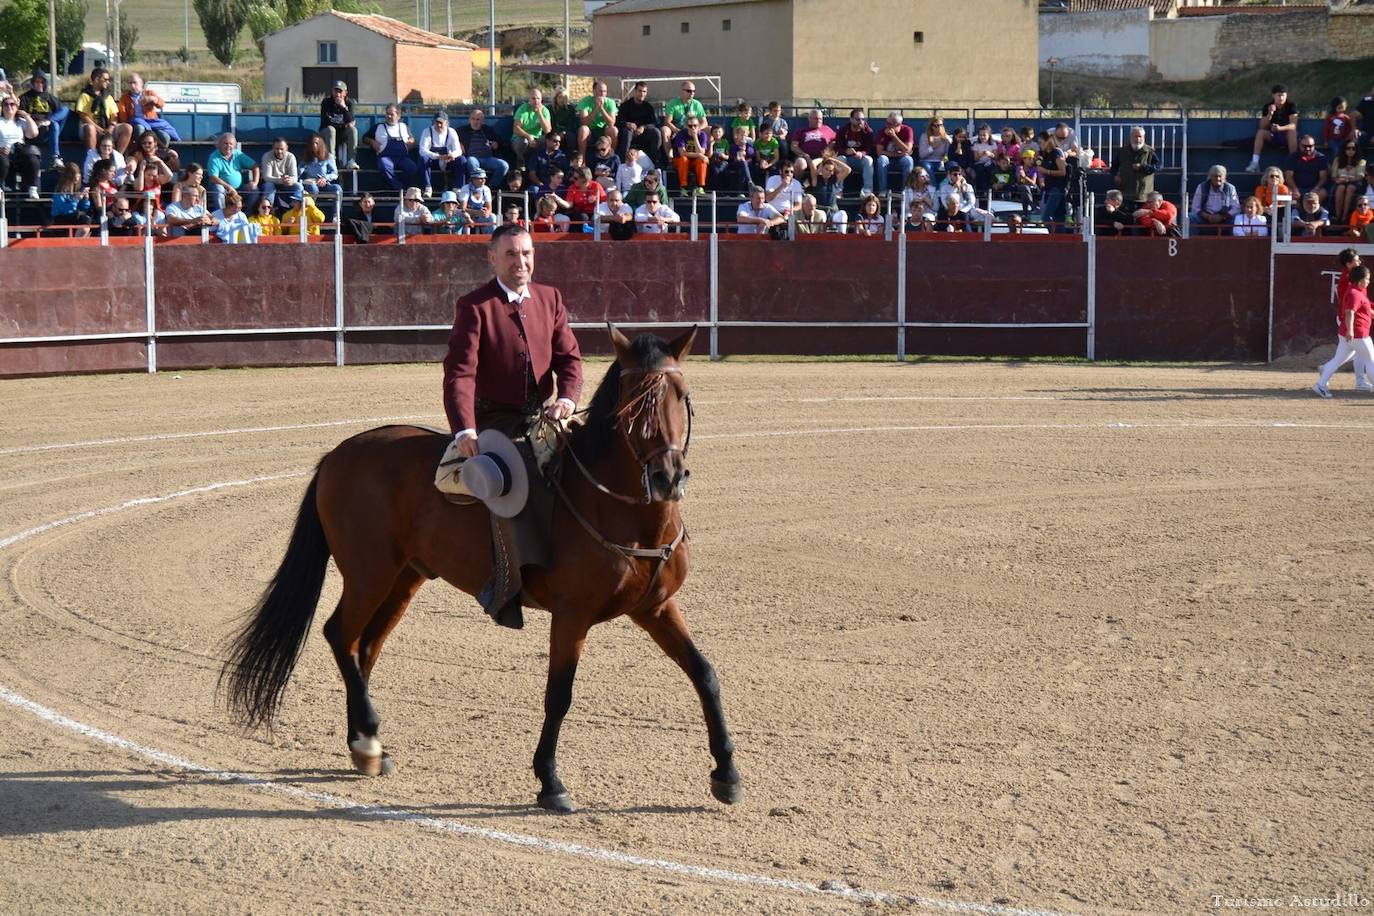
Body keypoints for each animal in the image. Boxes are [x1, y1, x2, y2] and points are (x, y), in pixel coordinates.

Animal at [222, 325, 741, 813]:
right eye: (628, 403)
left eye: (682, 394)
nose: (666, 477)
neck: (620, 511)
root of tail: (337, 454)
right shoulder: (571, 615)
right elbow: (559, 695)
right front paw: (550, 782)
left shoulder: (655, 608)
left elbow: (706, 674)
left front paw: (727, 774)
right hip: (368, 575)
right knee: (339, 636)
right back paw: (367, 740)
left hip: (404, 578)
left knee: (363, 647)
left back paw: (366, 745)